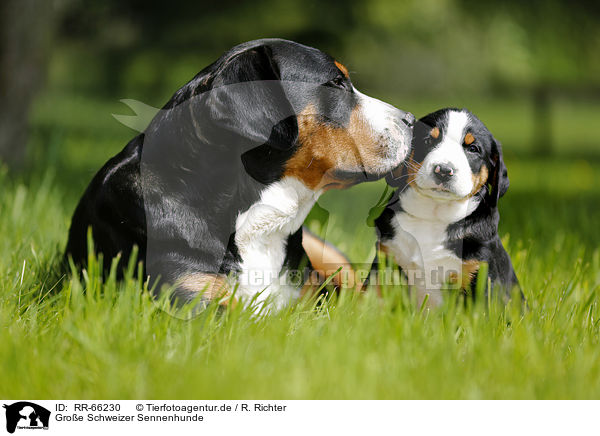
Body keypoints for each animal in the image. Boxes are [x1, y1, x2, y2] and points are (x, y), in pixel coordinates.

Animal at [372, 107, 524, 306]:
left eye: (473, 149)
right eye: (428, 141)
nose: (444, 170)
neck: (434, 216)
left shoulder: (480, 274)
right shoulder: (385, 258)